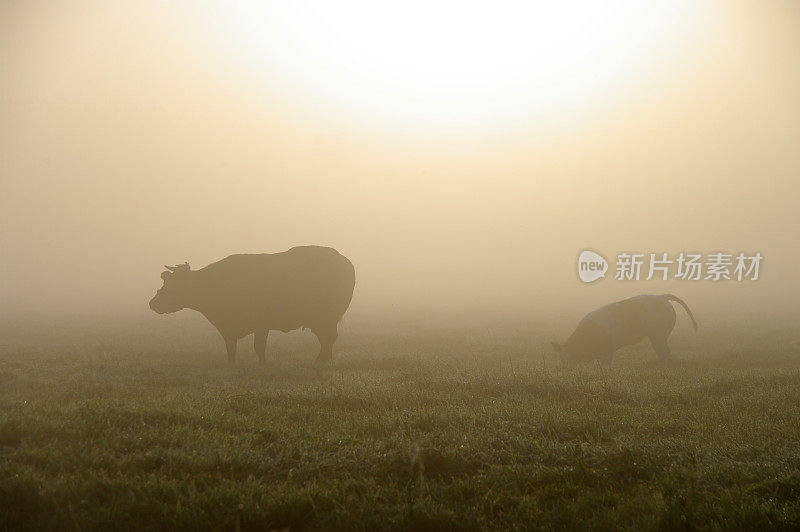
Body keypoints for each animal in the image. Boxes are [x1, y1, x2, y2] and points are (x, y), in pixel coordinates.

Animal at [148, 246, 354, 364]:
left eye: (170, 284)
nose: (152, 303)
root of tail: (344, 260)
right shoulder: (230, 328)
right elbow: (231, 348)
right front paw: (232, 364)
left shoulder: (261, 325)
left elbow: (258, 346)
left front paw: (262, 364)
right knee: (328, 339)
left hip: (325, 318)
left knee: (328, 338)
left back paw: (321, 360)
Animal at [552, 296, 700, 366]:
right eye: (561, 359)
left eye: (570, 358)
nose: (568, 370)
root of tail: (662, 297)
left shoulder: (609, 348)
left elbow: (606, 363)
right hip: (660, 336)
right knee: (664, 351)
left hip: (657, 335)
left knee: (664, 351)